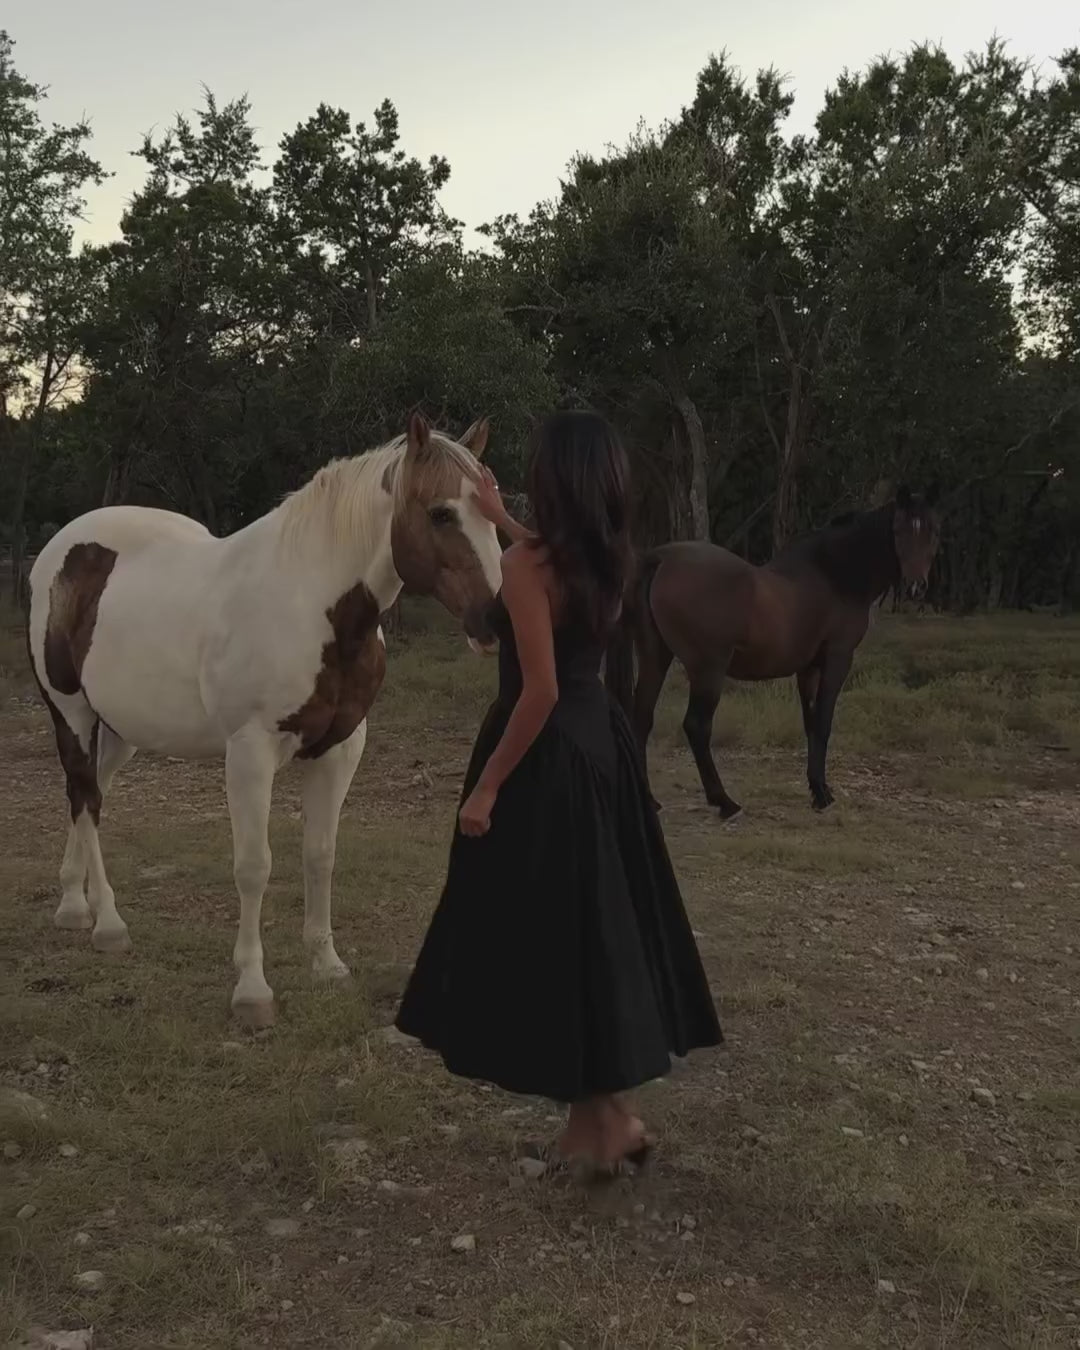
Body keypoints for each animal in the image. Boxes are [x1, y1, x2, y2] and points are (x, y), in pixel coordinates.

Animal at [24, 410, 496, 1020]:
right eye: (440, 512)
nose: (494, 619)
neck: (311, 605)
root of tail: (59, 550)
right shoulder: (250, 751)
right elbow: (254, 866)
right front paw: (252, 988)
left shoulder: (341, 748)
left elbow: (320, 854)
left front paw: (327, 964)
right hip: (72, 713)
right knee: (87, 799)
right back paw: (106, 922)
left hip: (121, 728)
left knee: (86, 794)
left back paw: (71, 904)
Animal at [602, 491, 939, 815]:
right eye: (898, 531)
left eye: (932, 533)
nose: (916, 587)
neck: (834, 575)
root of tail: (661, 559)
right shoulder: (837, 659)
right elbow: (823, 722)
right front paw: (822, 794)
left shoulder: (808, 669)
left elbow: (810, 722)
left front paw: (817, 788)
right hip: (707, 669)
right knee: (696, 726)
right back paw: (724, 802)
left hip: (655, 657)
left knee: (642, 718)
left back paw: (650, 800)